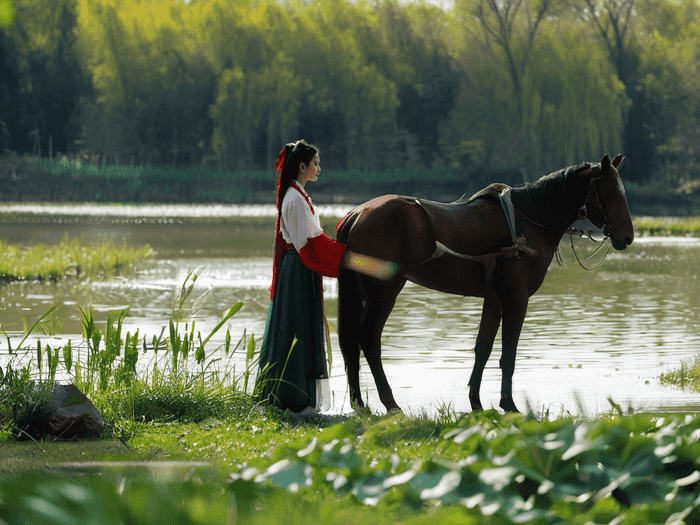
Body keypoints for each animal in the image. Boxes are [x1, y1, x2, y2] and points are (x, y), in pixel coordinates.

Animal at [336, 154, 636, 412]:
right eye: (609, 194)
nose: (628, 236)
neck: (529, 221)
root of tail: (358, 213)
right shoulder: (516, 298)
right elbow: (509, 354)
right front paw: (509, 404)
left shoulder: (494, 299)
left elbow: (483, 348)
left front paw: (476, 402)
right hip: (384, 293)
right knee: (369, 340)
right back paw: (390, 403)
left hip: (364, 294)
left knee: (352, 344)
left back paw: (360, 404)